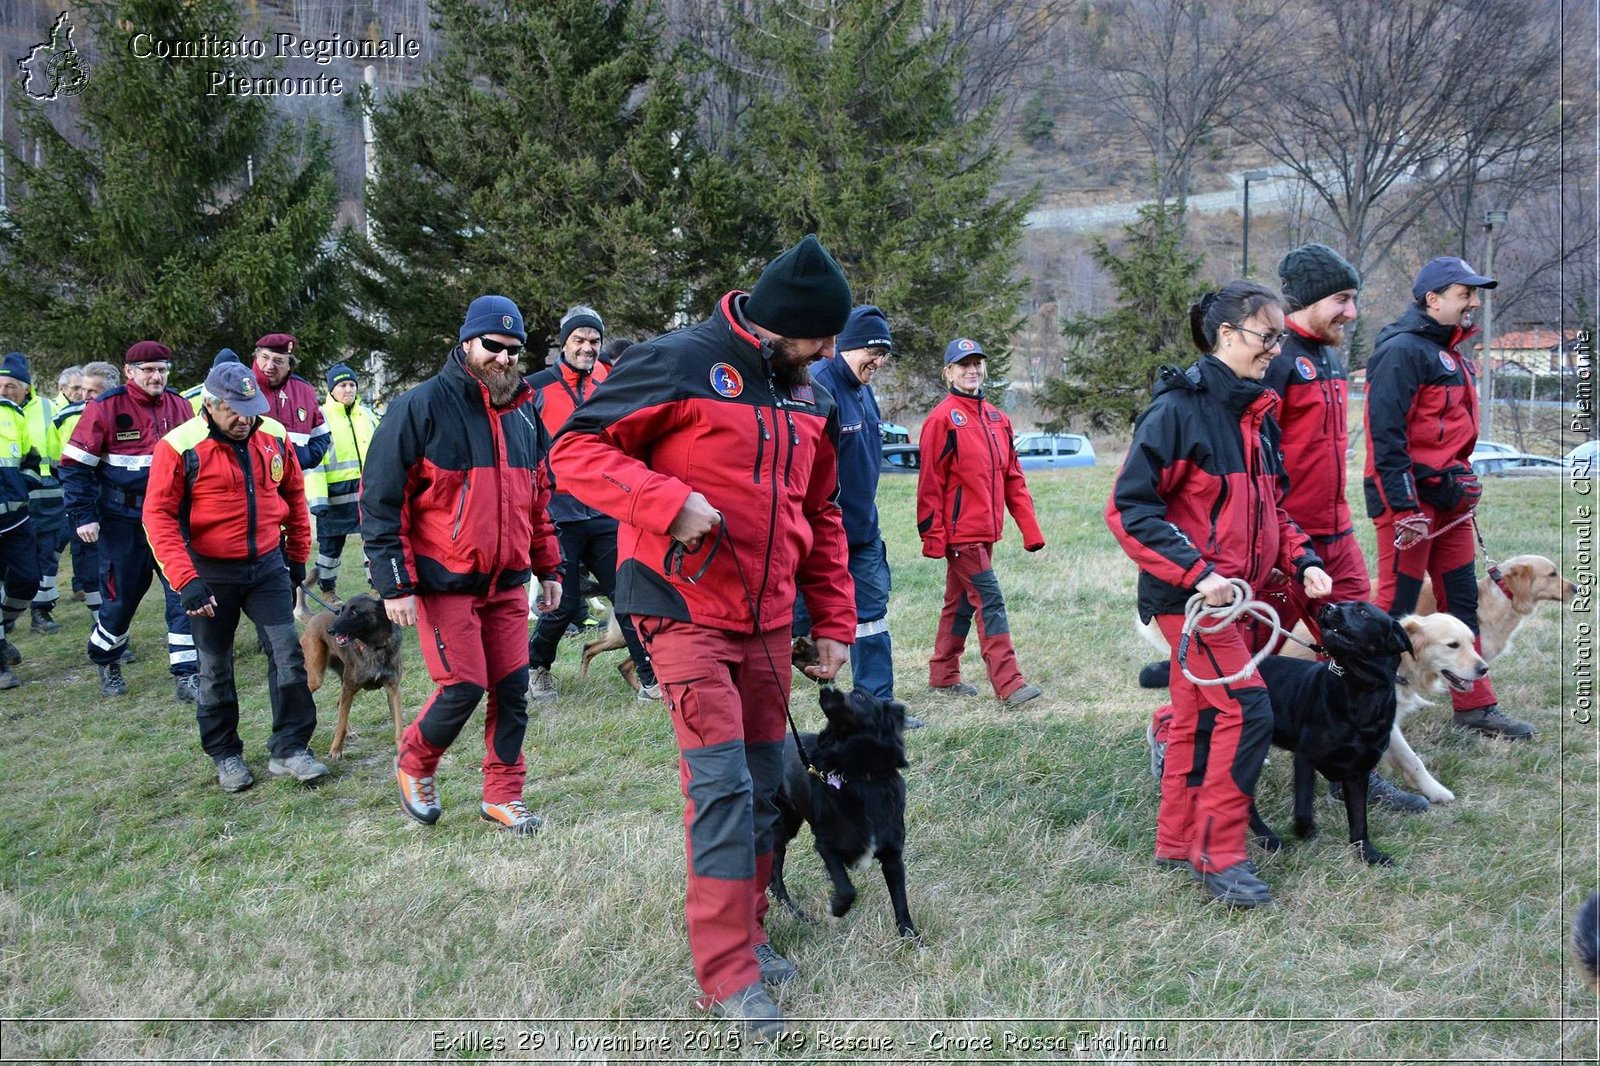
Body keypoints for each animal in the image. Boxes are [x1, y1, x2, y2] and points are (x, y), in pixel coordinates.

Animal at [300, 589, 403, 755]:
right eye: (342, 611)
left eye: (355, 612)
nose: (330, 631)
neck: (374, 647)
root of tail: (314, 617)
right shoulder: (349, 688)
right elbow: (340, 724)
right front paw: (335, 751)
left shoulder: (393, 689)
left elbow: (399, 724)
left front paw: (402, 748)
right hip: (316, 677)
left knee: (339, 703)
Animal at [1248, 598, 1414, 864]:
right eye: (1341, 604)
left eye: (1362, 611)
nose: (1327, 607)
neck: (1359, 690)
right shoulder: (1305, 757)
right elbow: (1304, 805)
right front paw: (1304, 830)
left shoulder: (1358, 771)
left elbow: (1359, 820)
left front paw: (1368, 854)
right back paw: (1270, 839)